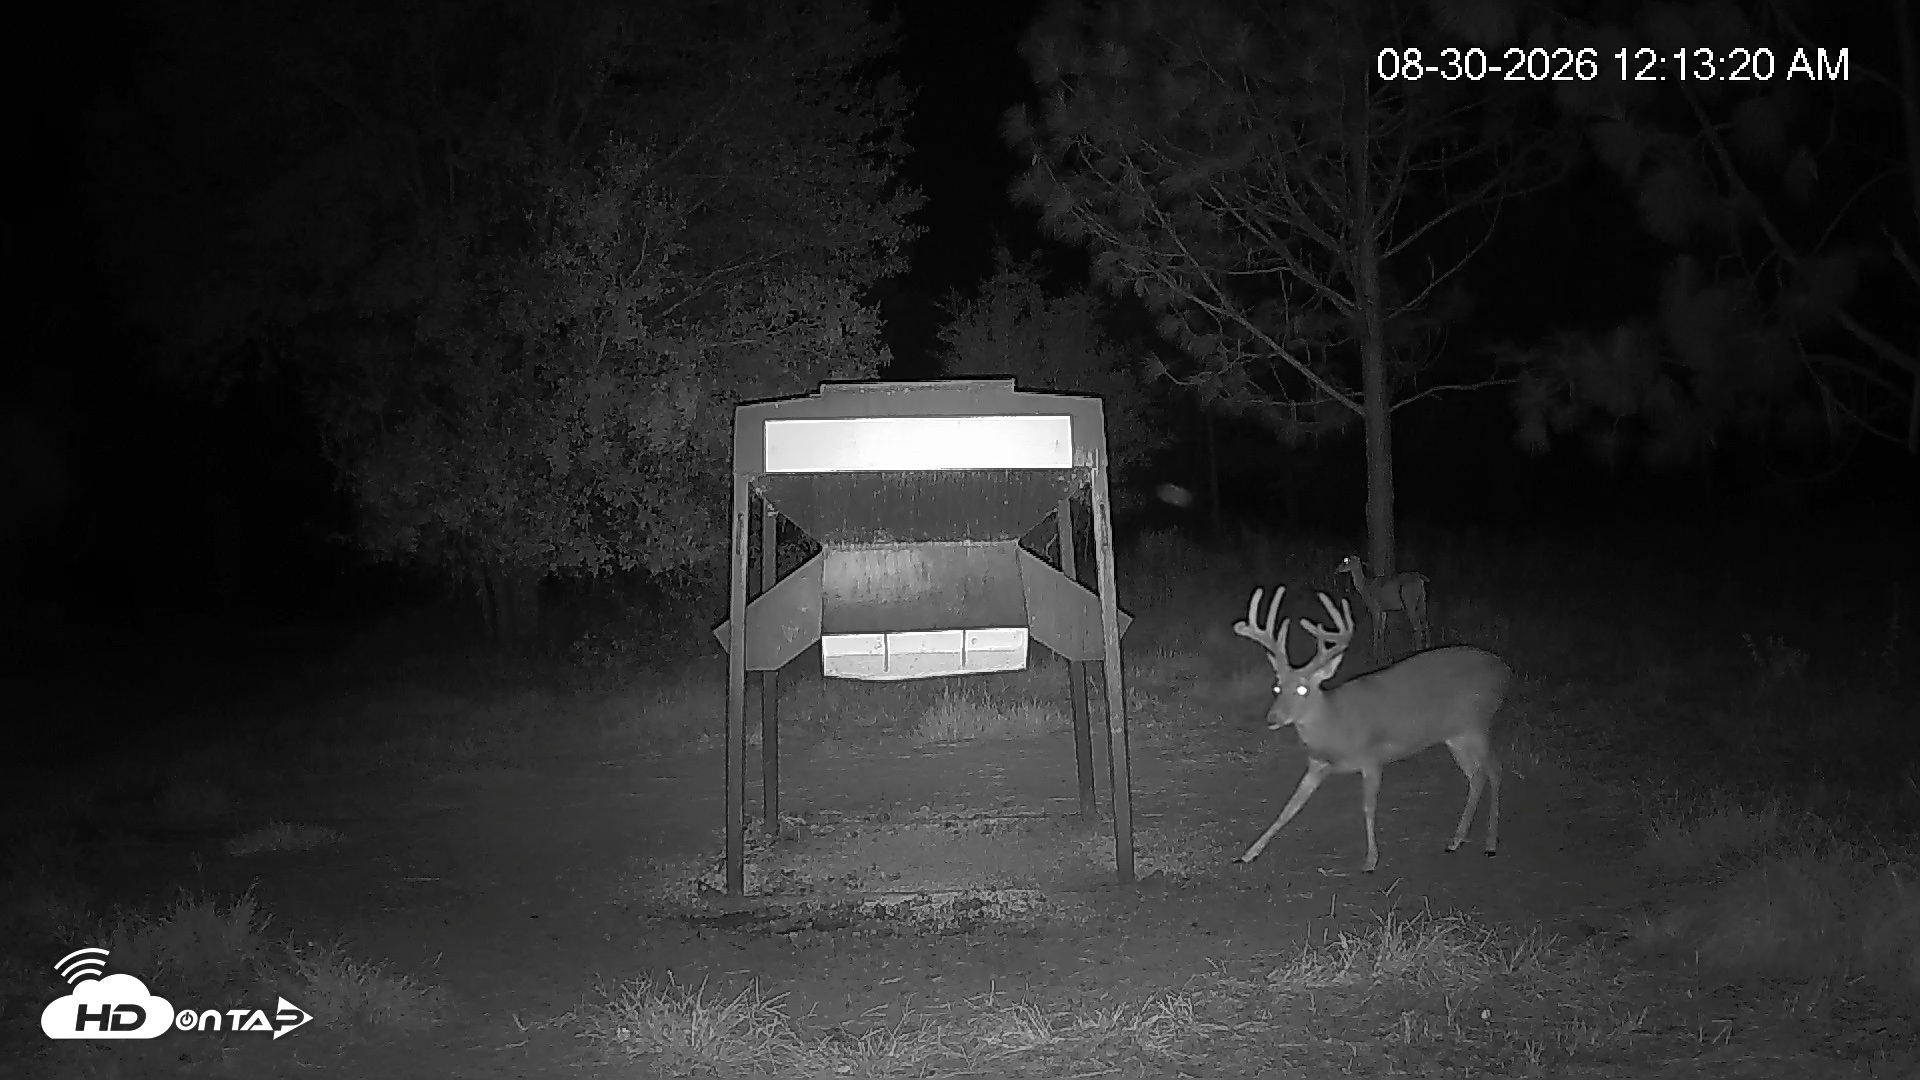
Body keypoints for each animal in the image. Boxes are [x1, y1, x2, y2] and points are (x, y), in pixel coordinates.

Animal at [1231, 586, 1509, 873]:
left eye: (1302, 689)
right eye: (1277, 687)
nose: (1272, 717)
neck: (1335, 724)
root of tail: (1505, 669)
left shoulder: (1372, 757)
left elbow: (1368, 807)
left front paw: (1371, 859)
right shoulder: (1317, 763)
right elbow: (1288, 808)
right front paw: (1248, 853)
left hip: (1478, 722)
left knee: (1495, 769)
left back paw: (1490, 843)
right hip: (1456, 735)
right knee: (1476, 776)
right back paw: (1456, 840)